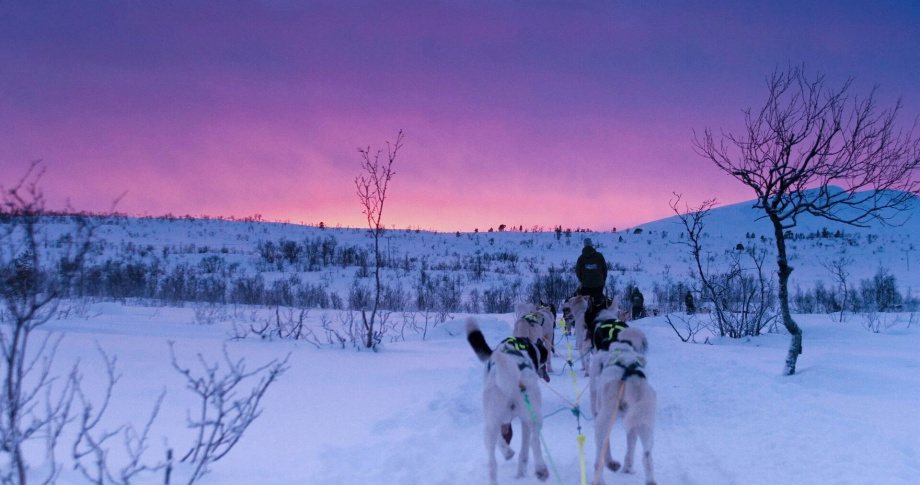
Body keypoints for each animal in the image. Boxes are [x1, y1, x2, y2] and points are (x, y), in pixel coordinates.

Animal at [468, 318, 548, 484]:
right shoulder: (523, 421)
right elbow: (524, 451)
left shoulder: (500, 420)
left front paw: (508, 454)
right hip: (533, 416)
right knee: (534, 441)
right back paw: (540, 469)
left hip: (491, 423)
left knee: (492, 462)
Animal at [588, 310, 656, 484]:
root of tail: (629, 377)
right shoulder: (632, 423)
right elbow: (630, 447)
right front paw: (626, 467)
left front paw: (611, 463)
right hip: (644, 423)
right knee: (647, 457)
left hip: (604, 419)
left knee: (599, 456)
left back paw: (602, 475)